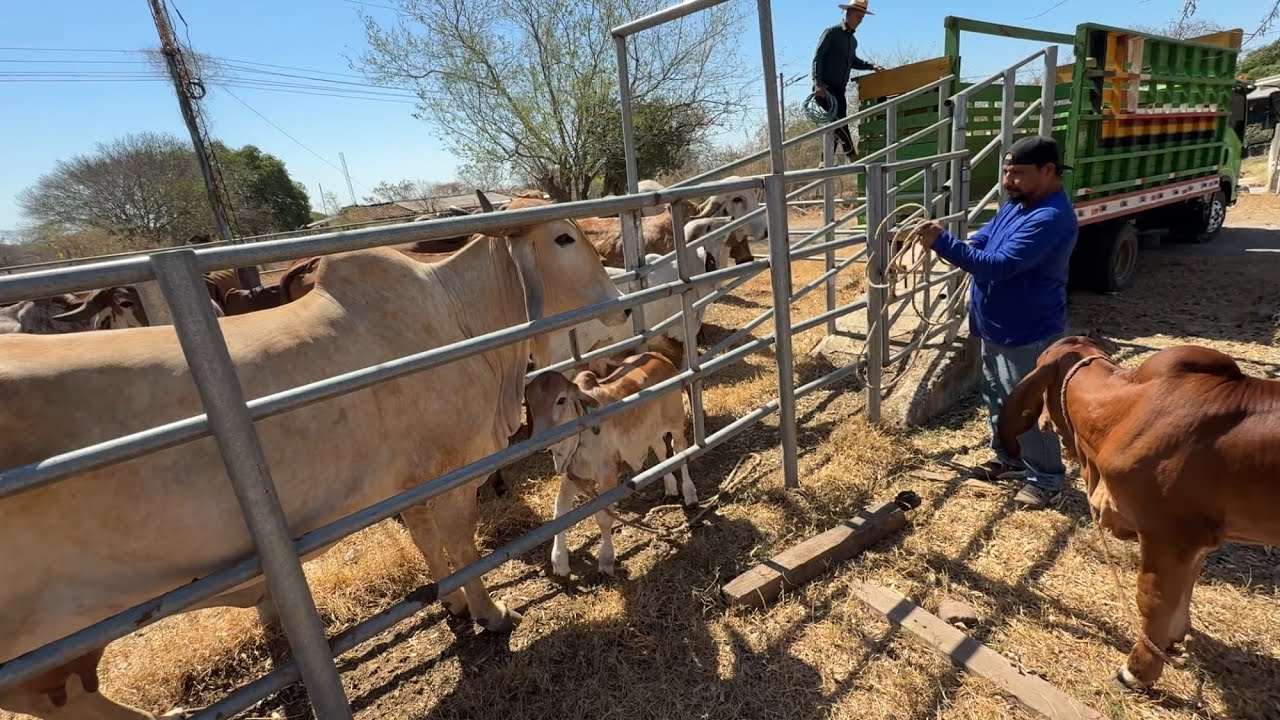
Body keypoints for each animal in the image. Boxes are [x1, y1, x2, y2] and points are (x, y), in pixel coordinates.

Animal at [0, 216, 629, 720]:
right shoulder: (452, 470)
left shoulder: (405, 486)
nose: (622, 303)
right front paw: (490, 613)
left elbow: (429, 542)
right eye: (564, 237)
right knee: (66, 699)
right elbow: (461, 546)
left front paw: (450, 602)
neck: (461, 318)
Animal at [524, 346, 694, 578]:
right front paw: (559, 562)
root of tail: (659, 356)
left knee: (680, 452)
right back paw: (670, 487)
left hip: (676, 422)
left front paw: (606, 560)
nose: (539, 440)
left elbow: (603, 518)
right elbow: (560, 513)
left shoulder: (607, 475)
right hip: (649, 431)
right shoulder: (572, 475)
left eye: (561, 399)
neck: (581, 436)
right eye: (531, 404)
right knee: (661, 451)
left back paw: (689, 492)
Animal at [996, 335, 1280, 692]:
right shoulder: (1198, 538)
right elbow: (1185, 586)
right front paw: (1172, 638)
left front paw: (1137, 671)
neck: (1123, 409)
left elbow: (1153, 599)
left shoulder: (1170, 532)